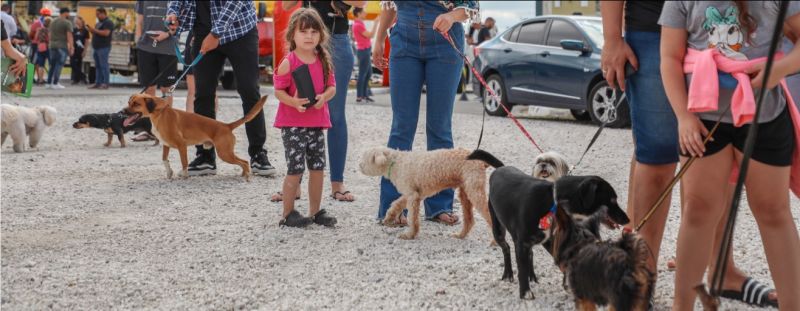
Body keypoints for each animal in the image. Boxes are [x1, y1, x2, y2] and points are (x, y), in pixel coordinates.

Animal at [125, 94, 268, 180]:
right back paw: (243, 174)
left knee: (244, 162)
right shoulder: (166, 145)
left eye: (136, 104)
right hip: (226, 153)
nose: (122, 111)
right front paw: (169, 173)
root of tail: (226, 126)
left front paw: (184, 175)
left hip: (225, 153)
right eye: (129, 102)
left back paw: (247, 176)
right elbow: (165, 160)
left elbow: (184, 162)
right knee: (243, 162)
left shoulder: (182, 146)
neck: (160, 114)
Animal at [360, 147, 490, 241]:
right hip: (465, 194)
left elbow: (413, 218)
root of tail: (481, 162)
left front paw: (410, 235)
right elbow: (396, 203)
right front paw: (389, 217)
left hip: (474, 191)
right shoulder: (413, 194)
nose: (359, 165)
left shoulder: (412, 197)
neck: (396, 163)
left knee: (488, 213)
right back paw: (460, 235)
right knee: (469, 220)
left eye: (366, 158)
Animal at [462, 150, 632, 302]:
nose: (628, 219)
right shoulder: (521, 243)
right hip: (498, 229)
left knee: (530, 254)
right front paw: (525, 292)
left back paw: (532, 276)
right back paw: (508, 273)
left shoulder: (550, 240)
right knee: (506, 249)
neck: (553, 200)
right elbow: (521, 268)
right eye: (612, 200)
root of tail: (501, 168)